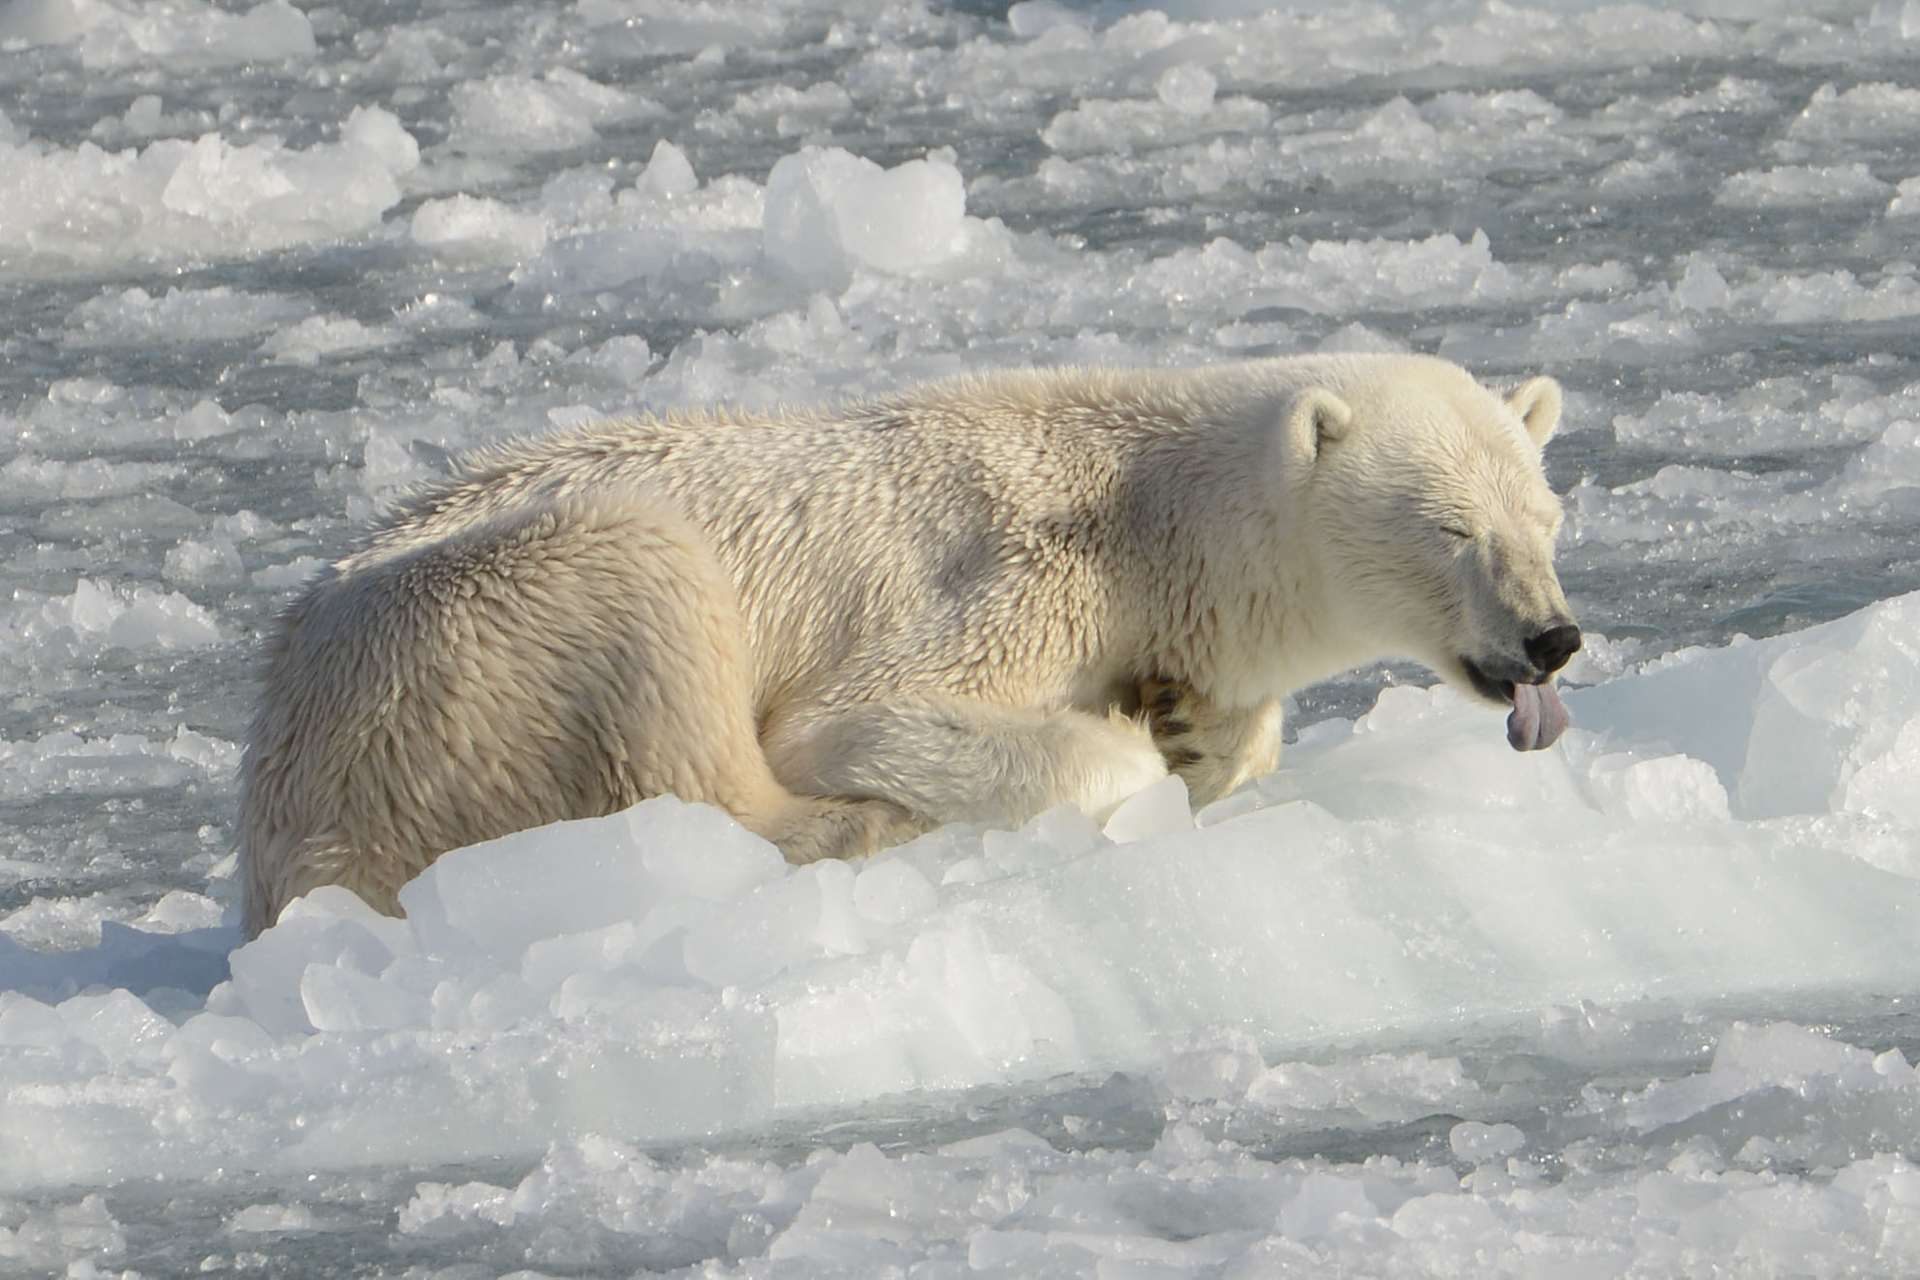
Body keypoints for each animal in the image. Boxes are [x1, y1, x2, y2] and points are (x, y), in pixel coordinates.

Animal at [240, 355, 1582, 936]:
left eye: (1547, 515)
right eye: (1451, 527)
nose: (1551, 637)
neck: (1146, 512)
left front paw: (1194, 721)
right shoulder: (1014, 575)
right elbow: (860, 716)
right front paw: (1130, 740)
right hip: (471, 632)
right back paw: (867, 827)